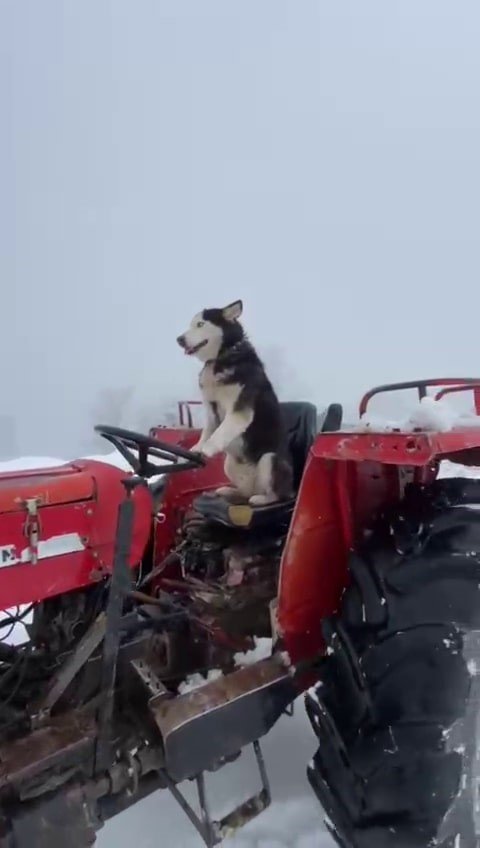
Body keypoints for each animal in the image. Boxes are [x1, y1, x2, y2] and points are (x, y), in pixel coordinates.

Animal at [176, 302, 292, 506]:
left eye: (200, 324)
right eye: (191, 325)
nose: (179, 339)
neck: (220, 357)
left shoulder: (239, 411)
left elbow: (219, 433)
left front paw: (206, 450)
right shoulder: (211, 409)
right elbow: (207, 432)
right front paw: (196, 448)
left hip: (269, 459)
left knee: (275, 494)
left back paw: (261, 499)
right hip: (229, 464)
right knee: (245, 491)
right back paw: (230, 491)